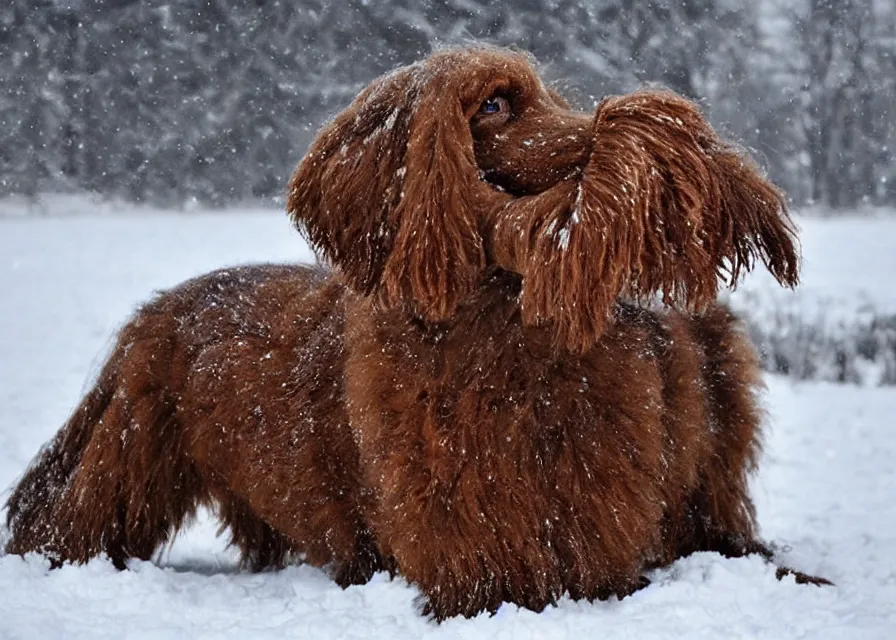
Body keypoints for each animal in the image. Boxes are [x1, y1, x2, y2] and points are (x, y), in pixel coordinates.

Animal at [1, 46, 824, 620]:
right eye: (495, 102)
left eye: (555, 97)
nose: (600, 130)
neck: (502, 332)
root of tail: (160, 304)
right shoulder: (474, 562)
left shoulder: (602, 539)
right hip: (129, 452)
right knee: (70, 519)